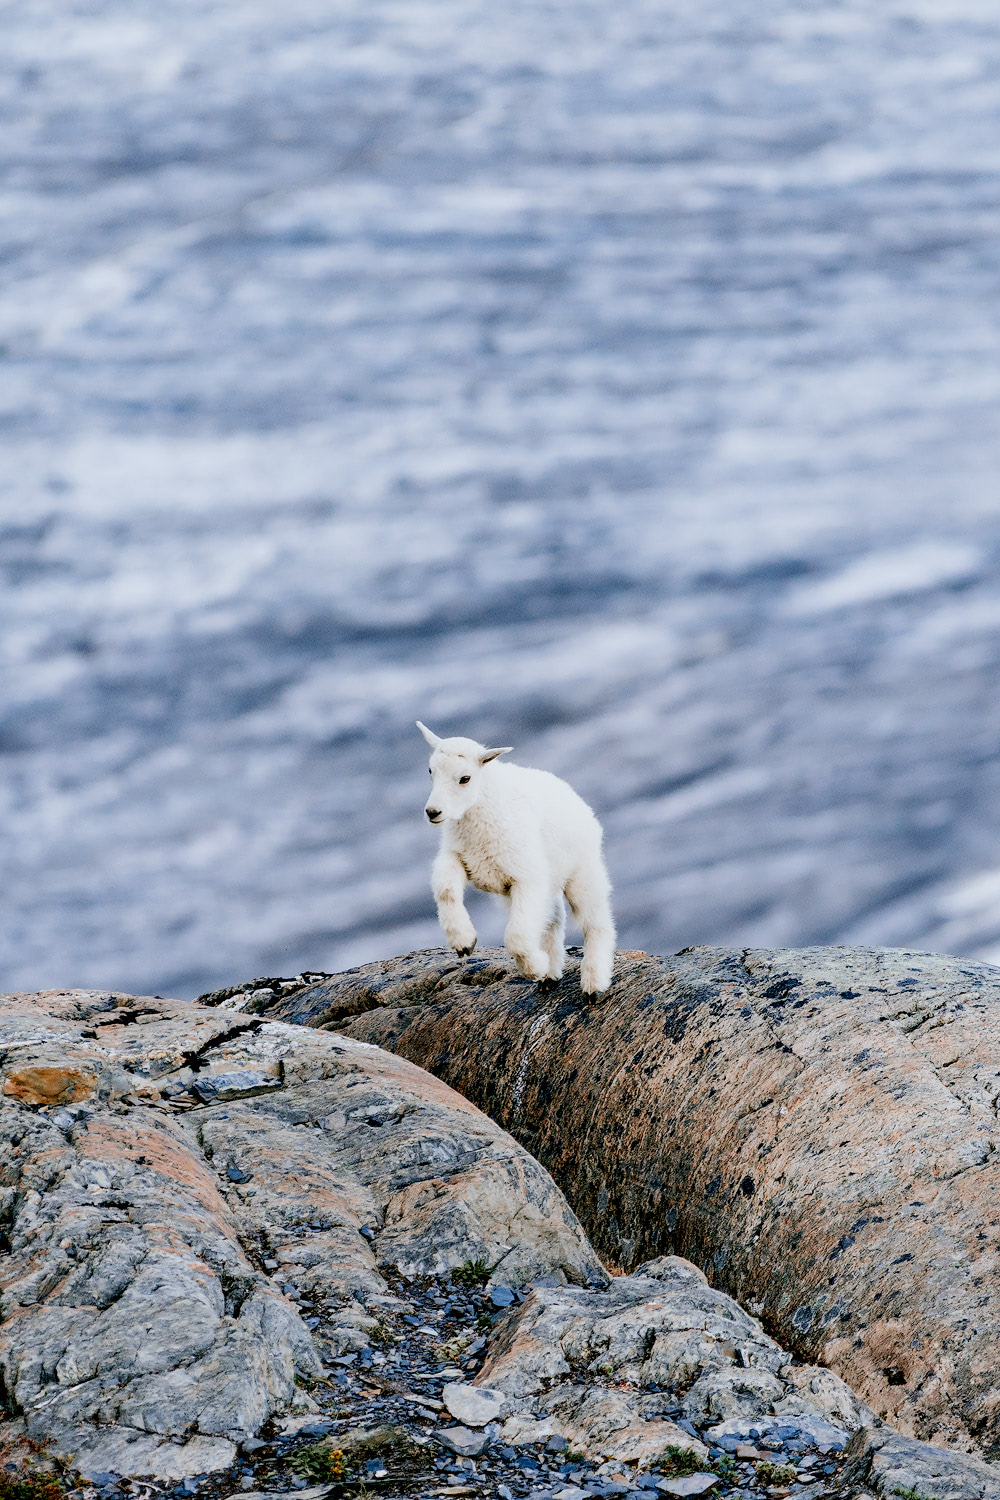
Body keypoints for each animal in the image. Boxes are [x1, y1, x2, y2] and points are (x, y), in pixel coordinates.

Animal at [416, 720, 617, 990]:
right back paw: (551, 976)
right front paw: (464, 942)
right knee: (552, 918)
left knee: (595, 923)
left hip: (582, 872)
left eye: (465, 778)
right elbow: (446, 890)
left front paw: (534, 968)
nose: (433, 812)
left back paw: (593, 983)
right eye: (430, 770)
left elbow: (516, 936)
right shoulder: (458, 857)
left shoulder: (526, 879)